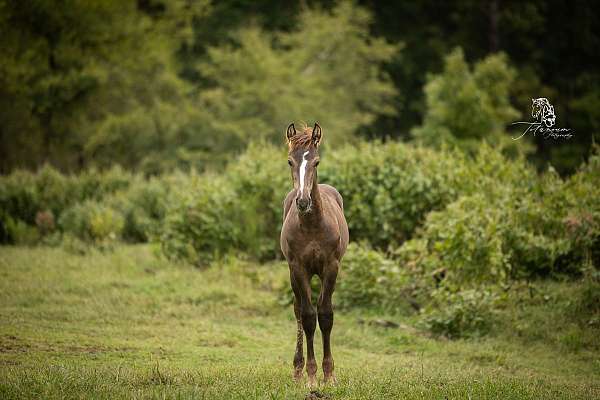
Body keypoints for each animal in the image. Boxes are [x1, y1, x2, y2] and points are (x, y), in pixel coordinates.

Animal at [278, 122, 350, 388]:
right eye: (290, 161)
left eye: (316, 162)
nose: (302, 201)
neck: (312, 226)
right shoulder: (299, 268)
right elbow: (309, 317)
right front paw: (310, 376)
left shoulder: (331, 267)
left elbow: (326, 315)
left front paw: (329, 375)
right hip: (295, 274)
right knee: (299, 310)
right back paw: (297, 370)